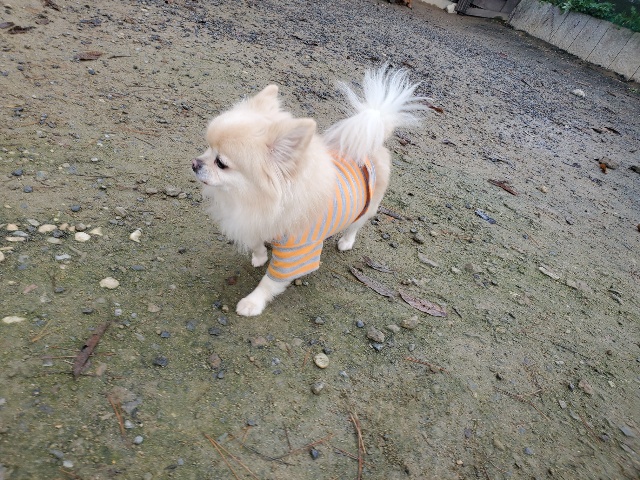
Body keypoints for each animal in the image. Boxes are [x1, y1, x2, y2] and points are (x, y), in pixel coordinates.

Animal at [192, 65, 427, 316]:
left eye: (221, 163)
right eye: (208, 148)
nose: (195, 163)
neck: (254, 199)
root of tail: (374, 137)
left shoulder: (296, 252)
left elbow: (270, 281)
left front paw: (252, 302)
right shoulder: (252, 222)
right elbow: (256, 242)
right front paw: (259, 256)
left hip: (366, 208)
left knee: (355, 226)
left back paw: (346, 241)